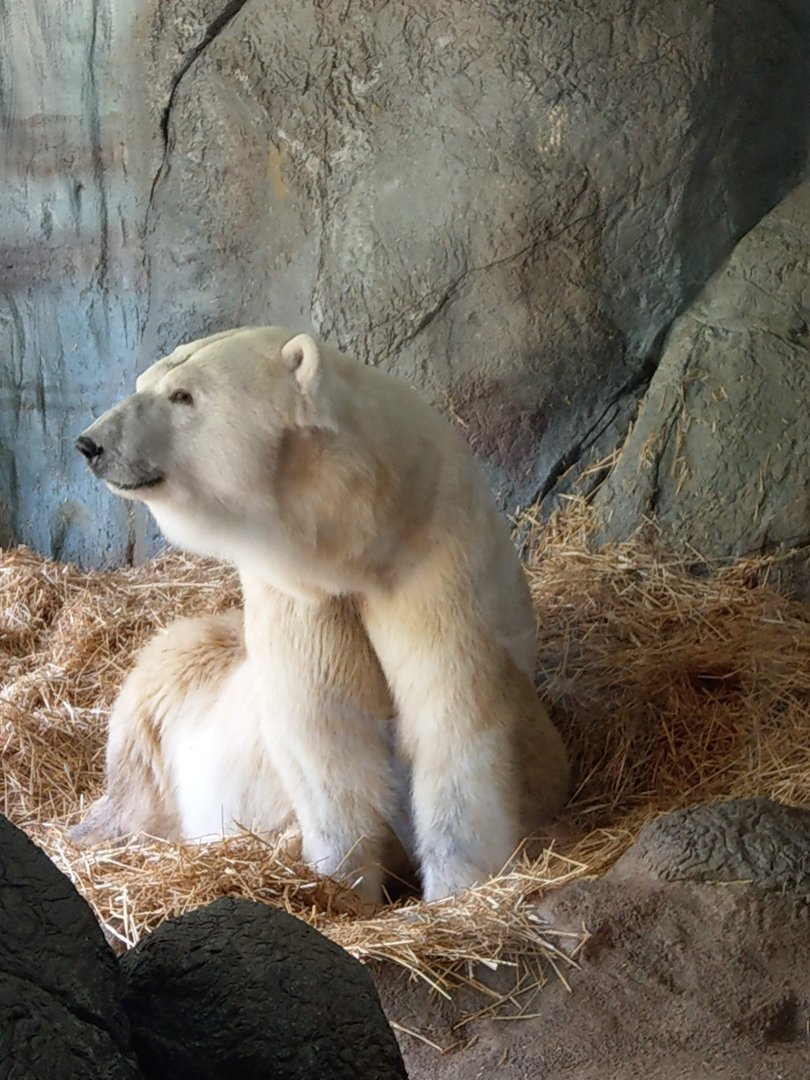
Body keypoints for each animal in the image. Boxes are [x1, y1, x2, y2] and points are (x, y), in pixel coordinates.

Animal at [75, 325, 569, 902]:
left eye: (182, 395)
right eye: (144, 381)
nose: (90, 443)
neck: (359, 543)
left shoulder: (435, 564)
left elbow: (454, 713)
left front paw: (454, 891)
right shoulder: (300, 598)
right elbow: (324, 733)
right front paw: (340, 885)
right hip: (162, 695)